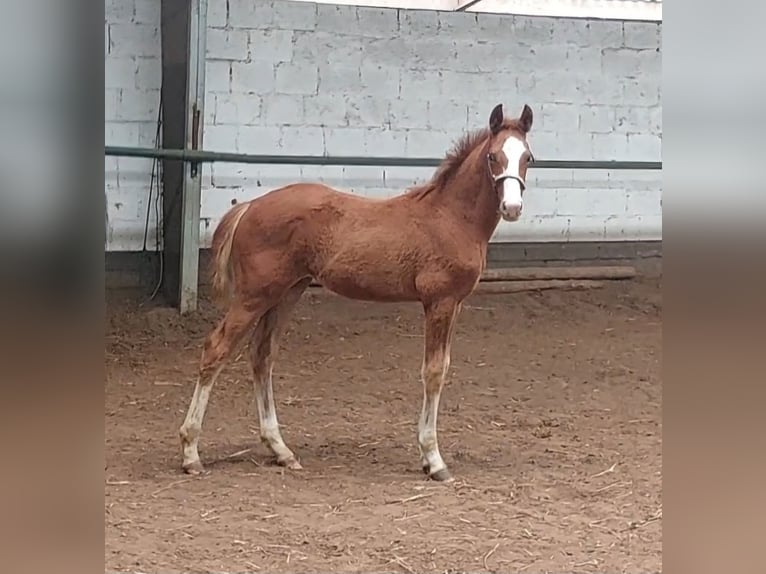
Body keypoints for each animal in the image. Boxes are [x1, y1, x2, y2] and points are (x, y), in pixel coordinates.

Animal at [178, 102, 536, 482]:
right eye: (493, 156)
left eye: (528, 157)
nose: (512, 208)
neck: (451, 217)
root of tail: (249, 206)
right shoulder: (440, 301)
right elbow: (434, 372)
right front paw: (434, 459)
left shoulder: (454, 304)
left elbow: (441, 367)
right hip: (254, 296)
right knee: (216, 348)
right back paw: (191, 453)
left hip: (287, 292)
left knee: (262, 355)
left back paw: (281, 450)